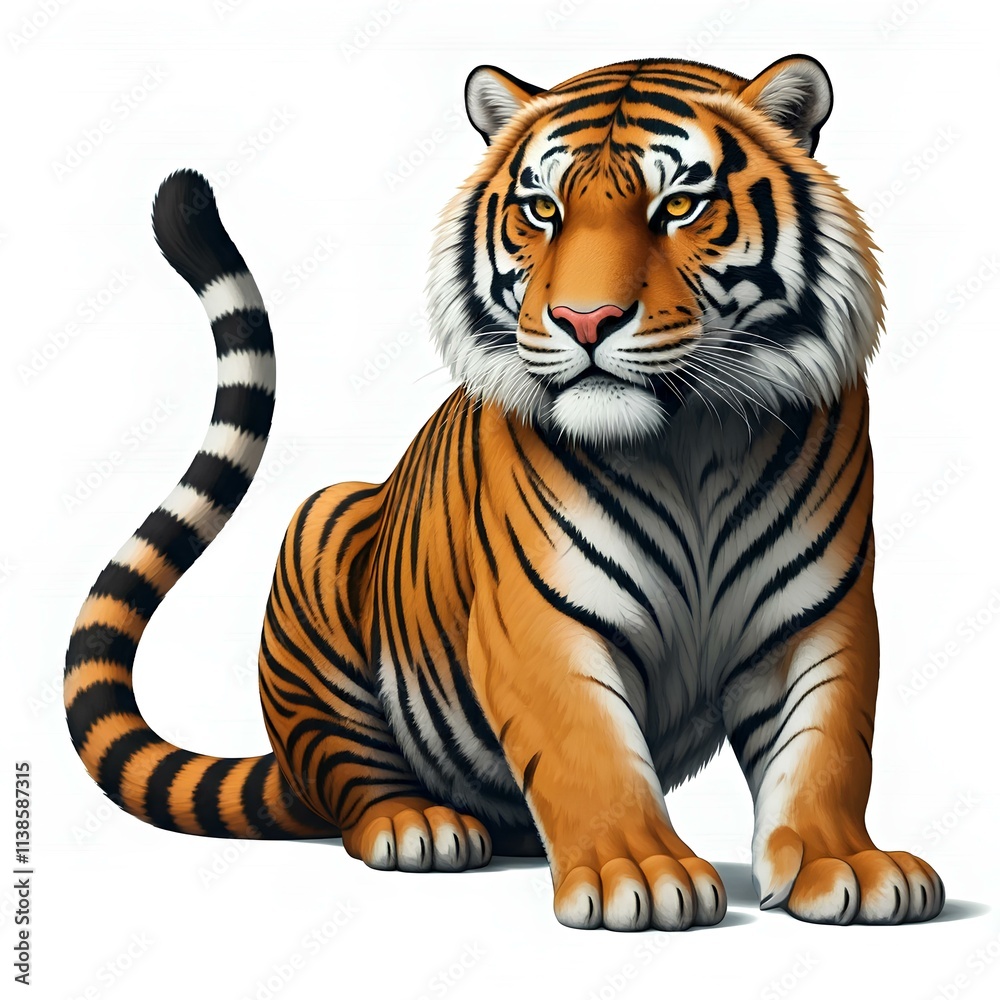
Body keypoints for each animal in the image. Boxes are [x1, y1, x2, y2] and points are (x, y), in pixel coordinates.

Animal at [65, 53, 945, 931]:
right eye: (543, 210)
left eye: (680, 205)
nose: (584, 319)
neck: (685, 439)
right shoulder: (540, 620)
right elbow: (590, 750)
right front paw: (641, 873)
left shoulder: (820, 615)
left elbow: (827, 747)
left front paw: (848, 866)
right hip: (318, 530)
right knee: (350, 773)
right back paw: (416, 823)